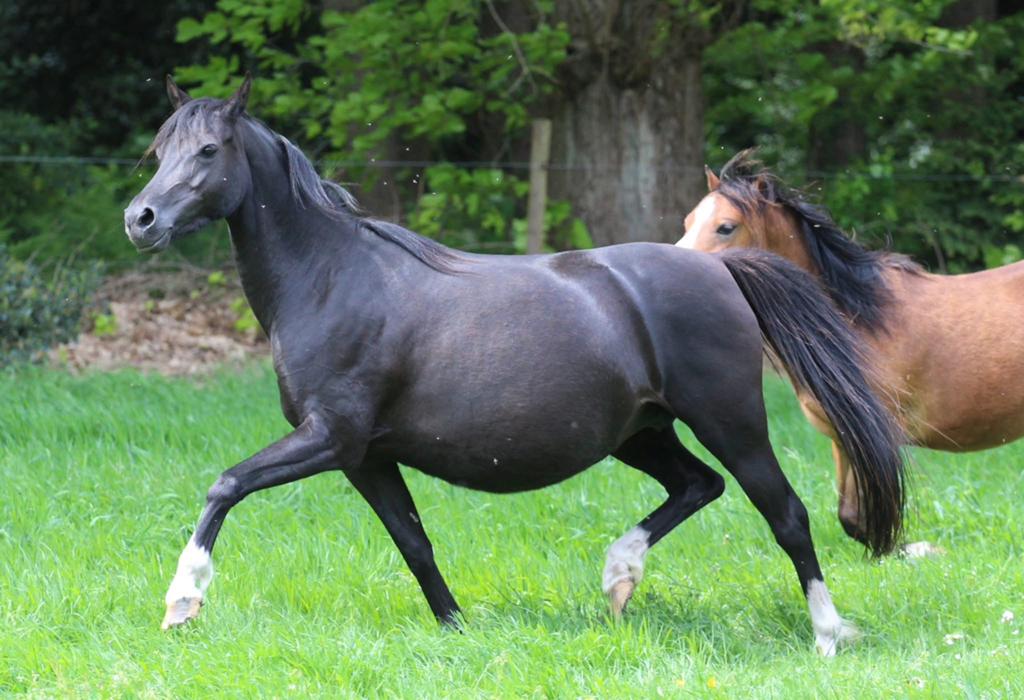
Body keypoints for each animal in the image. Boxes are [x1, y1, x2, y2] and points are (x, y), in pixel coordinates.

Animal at [124, 76, 906, 655]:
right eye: (159, 150)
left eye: (209, 150)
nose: (141, 220)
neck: (330, 278)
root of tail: (720, 270)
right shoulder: (366, 456)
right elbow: (414, 541)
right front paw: (456, 629)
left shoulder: (331, 438)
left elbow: (226, 485)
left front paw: (181, 601)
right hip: (641, 433)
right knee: (697, 486)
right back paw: (619, 576)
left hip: (731, 422)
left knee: (786, 514)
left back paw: (828, 633)